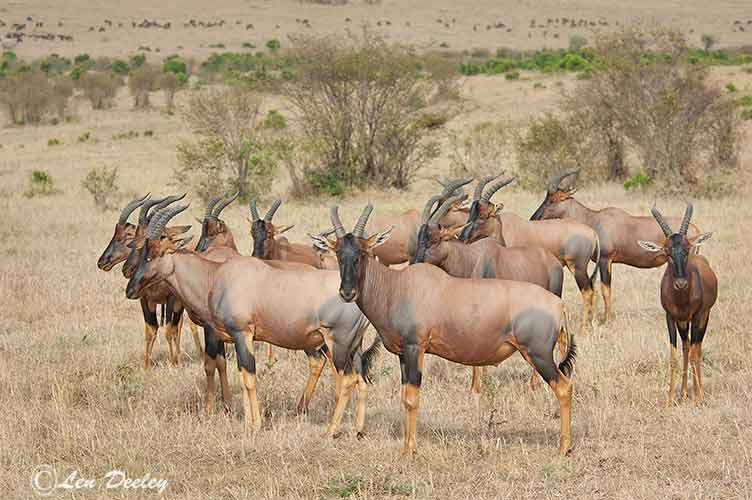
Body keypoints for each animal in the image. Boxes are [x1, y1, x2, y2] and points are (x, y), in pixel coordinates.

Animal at [127, 203, 382, 434]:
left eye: (155, 253)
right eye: (142, 251)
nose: (131, 289)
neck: (217, 275)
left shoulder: (242, 334)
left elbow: (248, 376)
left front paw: (255, 424)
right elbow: (241, 375)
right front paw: (248, 421)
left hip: (337, 344)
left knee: (347, 380)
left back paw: (330, 430)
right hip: (354, 345)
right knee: (361, 378)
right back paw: (358, 430)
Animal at [312, 204, 576, 458]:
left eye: (362, 253)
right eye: (339, 253)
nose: (347, 293)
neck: (399, 287)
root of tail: (558, 305)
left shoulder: (415, 348)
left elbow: (412, 397)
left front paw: (410, 451)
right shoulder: (402, 354)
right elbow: (404, 396)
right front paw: (406, 448)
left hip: (539, 355)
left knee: (564, 387)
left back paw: (564, 448)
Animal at [458, 176, 600, 336]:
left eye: (483, 215)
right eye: (470, 213)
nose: (462, 238)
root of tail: (593, 234)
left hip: (577, 268)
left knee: (587, 292)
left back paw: (583, 329)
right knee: (593, 287)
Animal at [532, 170, 704, 322]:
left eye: (552, 200)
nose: (533, 218)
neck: (595, 219)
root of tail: (696, 231)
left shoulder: (605, 260)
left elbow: (605, 289)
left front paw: (606, 321)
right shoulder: (605, 263)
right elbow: (595, 286)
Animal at [636, 203, 720, 406]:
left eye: (687, 248)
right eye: (667, 252)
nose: (680, 283)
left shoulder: (697, 316)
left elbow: (696, 354)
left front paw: (697, 398)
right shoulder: (670, 317)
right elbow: (674, 356)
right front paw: (670, 399)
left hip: (704, 317)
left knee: (697, 347)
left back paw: (699, 392)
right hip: (683, 322)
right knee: (686, 346)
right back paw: (682, 393)